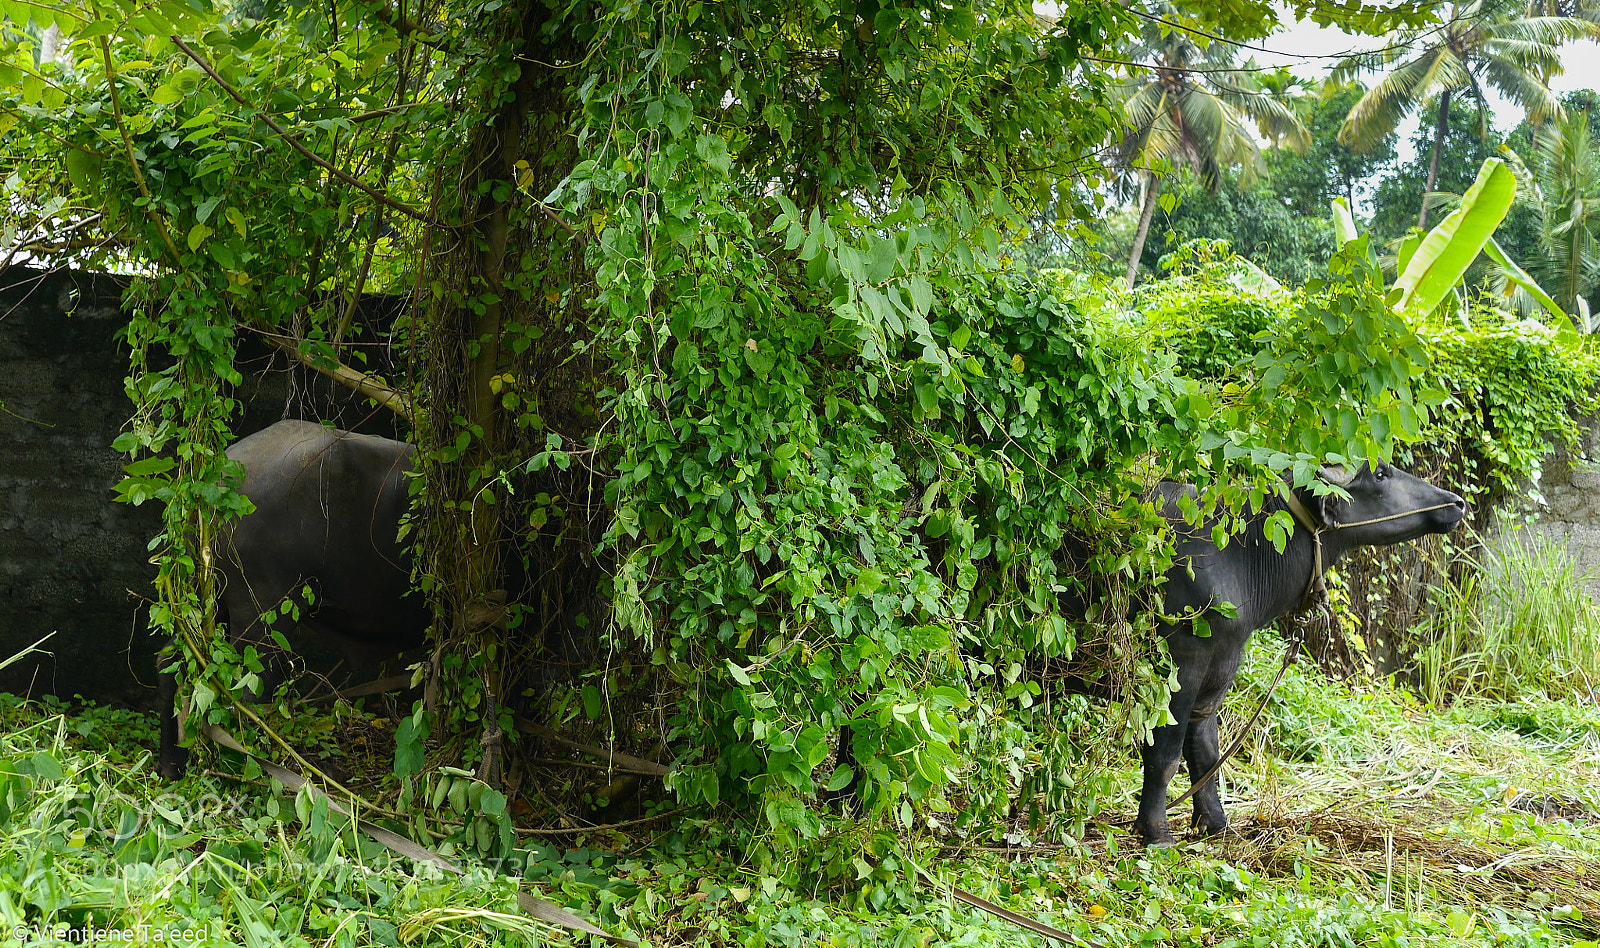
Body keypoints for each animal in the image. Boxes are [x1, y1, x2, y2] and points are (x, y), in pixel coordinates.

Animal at [1122, 461, 1465, 846]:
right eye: (1380, 475)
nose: (1457, 502)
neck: (1240, 554)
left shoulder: (1222, 662)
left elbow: (1205, 749)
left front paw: (1217, 824)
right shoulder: (1181, 659)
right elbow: (1164, 751)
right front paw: (1156, 831)